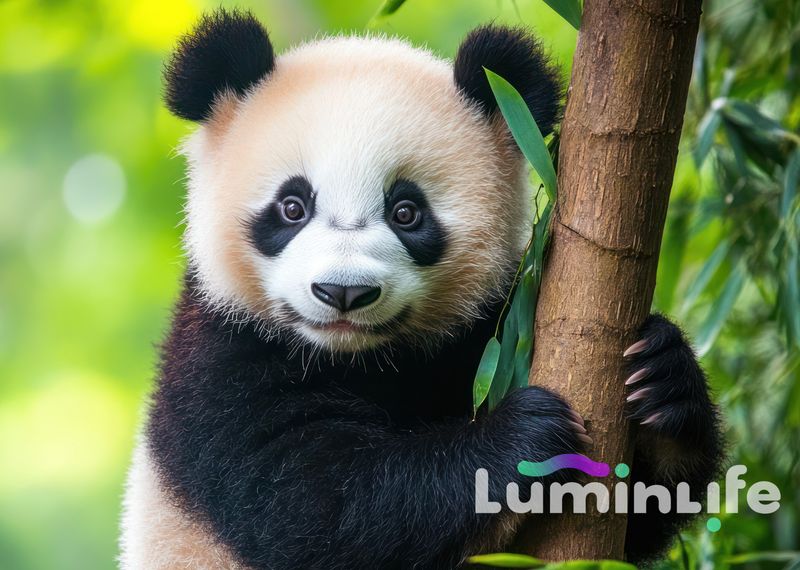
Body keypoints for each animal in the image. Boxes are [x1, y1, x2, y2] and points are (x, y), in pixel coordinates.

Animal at [120, 9, 723, 570]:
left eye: (406, 212)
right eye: (292, 207)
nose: (343, 292)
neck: (362, 358)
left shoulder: (482, 332)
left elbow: (642, 511)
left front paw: (662, 379)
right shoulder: (220, 364)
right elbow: (318, 505)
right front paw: (520, 438)